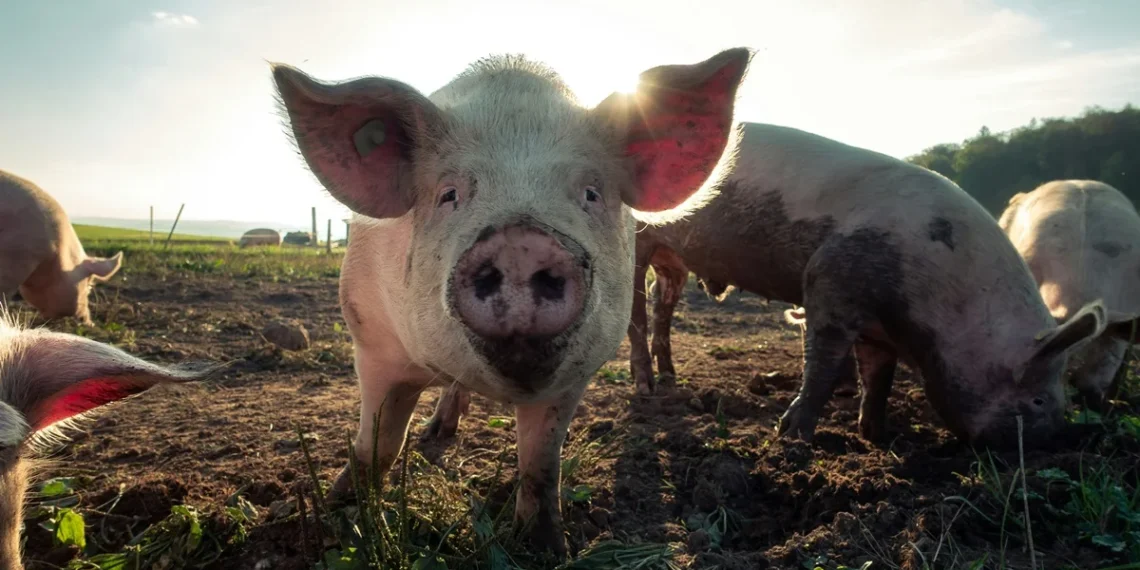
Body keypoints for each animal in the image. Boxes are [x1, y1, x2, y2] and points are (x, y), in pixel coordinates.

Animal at [271, 48, 753, 554]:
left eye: (591, 193)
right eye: (449, 194)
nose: (522, 242)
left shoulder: (576, 374)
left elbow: (541, 464)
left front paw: (546, 548)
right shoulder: (372, 340)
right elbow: (378, 444)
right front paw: (338, 516)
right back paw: (435, 433)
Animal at [417, 122, 1111, 449]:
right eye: (1039, 398)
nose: (1061, 439)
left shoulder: (878, 324)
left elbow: (877, 374)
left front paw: (876, 435)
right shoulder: (832, 280)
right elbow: (823, 361)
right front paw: (791, 435)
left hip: (673, 259)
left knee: (663, 315)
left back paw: (672, 381)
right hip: (631, 248)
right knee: (636, 320)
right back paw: (643, 389)